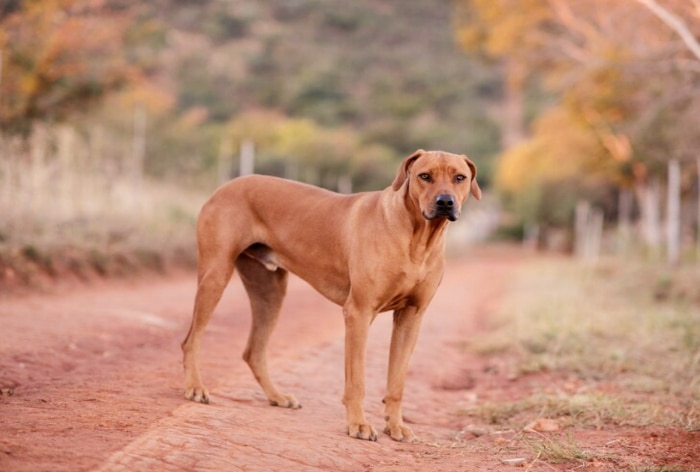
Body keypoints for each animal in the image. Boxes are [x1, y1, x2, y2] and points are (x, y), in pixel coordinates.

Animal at [182, 150, 482, 442]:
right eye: (425, 176)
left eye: (459, 177)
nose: (445, 202)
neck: (417, 238)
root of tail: (226, 185)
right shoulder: (359, 313)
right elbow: (357, 380)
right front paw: (359, 424)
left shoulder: (411, 317)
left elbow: (397, 382)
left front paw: (396, 426)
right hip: (216, 274)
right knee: (191, 340)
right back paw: (195, 387)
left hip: (270, 291)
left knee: (254, 350)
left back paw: (277, 396)